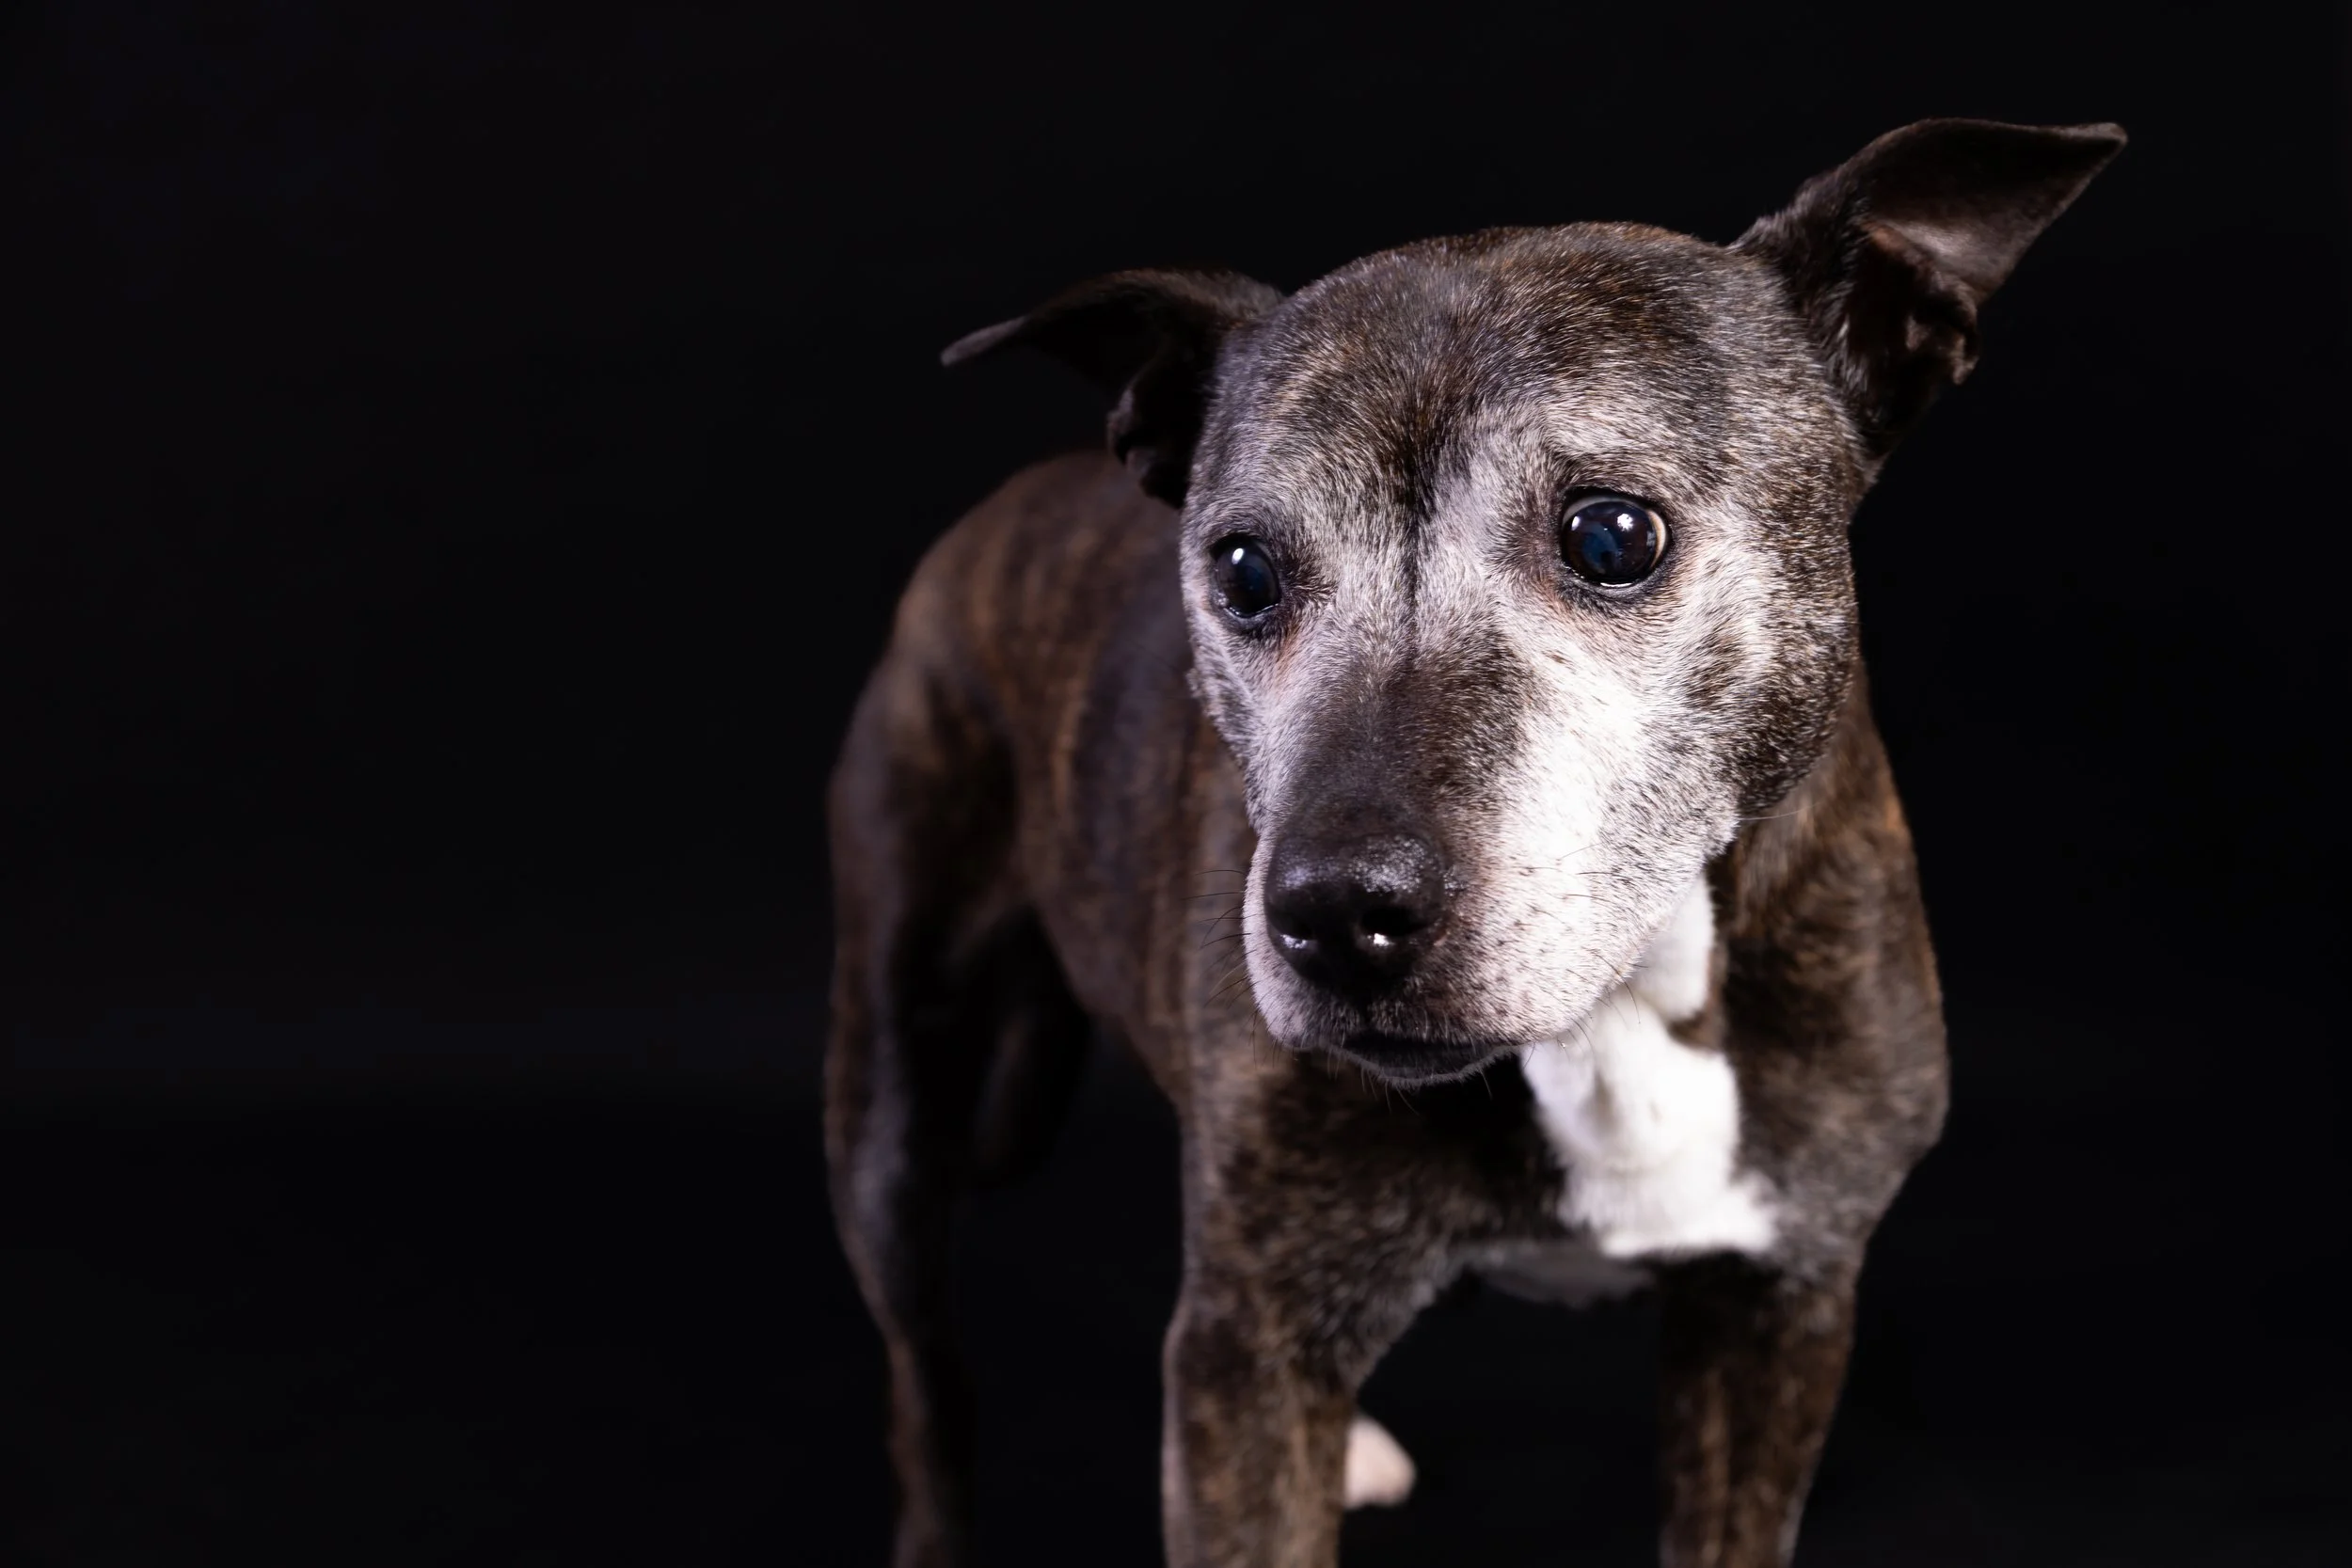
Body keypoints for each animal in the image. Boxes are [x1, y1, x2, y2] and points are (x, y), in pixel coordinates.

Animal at [825, 118, 2123, 1567]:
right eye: (1243, 572)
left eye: (1612, 534)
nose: (1337, 914)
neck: (1623, 1001)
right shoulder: (1244, 1350)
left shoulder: (1781, 1305)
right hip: (893, 1083)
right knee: (924, 1379)